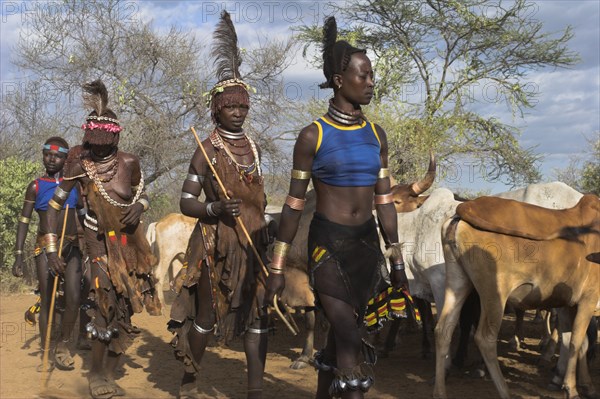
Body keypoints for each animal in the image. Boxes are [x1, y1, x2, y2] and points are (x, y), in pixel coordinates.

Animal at [434, 195, 596, 399]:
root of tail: (468, 205)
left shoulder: (567, 303)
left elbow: (572, 341)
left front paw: (575, 382)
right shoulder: (588, 298)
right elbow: (576, 341)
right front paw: (572, 388)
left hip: (457, 282)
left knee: (443, 330)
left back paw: (439, 392)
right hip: (495, 293)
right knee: (485, 338)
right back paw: (504, 391)